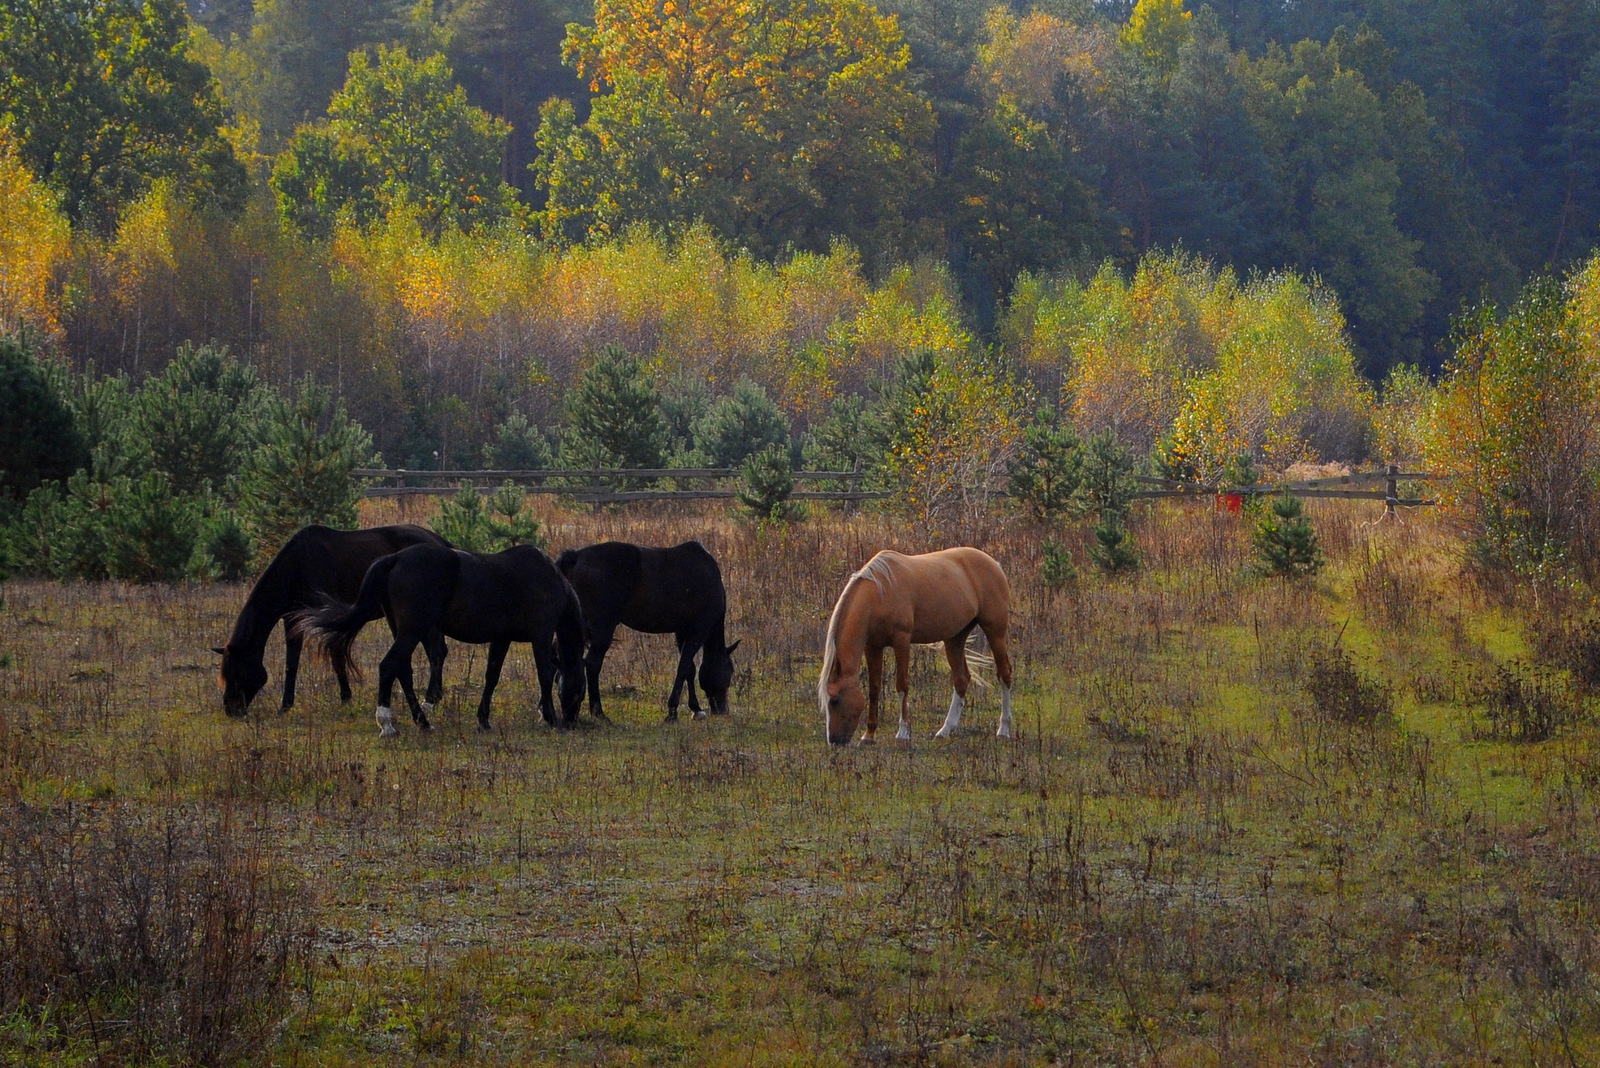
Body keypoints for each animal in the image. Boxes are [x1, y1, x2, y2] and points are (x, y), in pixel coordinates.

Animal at [214, 524, 450, 718]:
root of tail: (437, 540)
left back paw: (431, 698)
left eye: (237, 672)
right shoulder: (292, 620)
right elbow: (292, 663)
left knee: (436, 651)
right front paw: (285, 706)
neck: (297, 567)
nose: (230, 709)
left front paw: (346, 697)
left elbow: (337, 657)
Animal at [298, 543, 585, 736]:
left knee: (403, 671)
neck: (549, 578)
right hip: (413, 630)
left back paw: (422, 721)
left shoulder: (501, 639)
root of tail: (395, 558)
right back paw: (387, 724)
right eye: (581, 688)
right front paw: (550, 717)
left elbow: (491, 677)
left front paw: (483, 720)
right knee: (388, 666)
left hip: (402, 630)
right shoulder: (541, 635)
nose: (572, 721)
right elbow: (544, 674)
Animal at [555, 540, 740, 721]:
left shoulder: (682, 632)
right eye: (730, 671)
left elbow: (689, 669)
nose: (723, 710)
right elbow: (683, 667)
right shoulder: (698, 630)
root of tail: (576, 556)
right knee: (593, 664)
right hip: (604, 628)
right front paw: (673, 711)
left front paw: (695, 708)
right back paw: (598, 712)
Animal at [818, 547, 1014, 746]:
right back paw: (945, 730)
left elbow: (902, 685)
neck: (880, 592)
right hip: (955, 637)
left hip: (995, 631)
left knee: (1004, 674)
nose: (834, 741)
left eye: (834, 700)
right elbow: (874, 688)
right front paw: (868, 736)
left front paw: (903, 733)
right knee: (961, 679)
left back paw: (1003, 730)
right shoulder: (872, 646)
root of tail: (993, 563)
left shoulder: (901, 641)